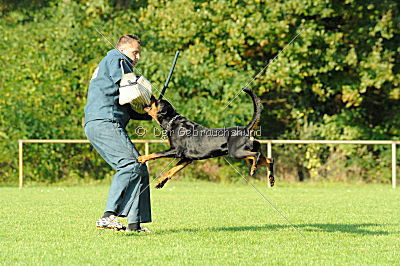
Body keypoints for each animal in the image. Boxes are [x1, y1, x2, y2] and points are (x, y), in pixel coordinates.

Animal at [138, 88, 276, 188]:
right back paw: (271, 179)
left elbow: (156, 153)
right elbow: (172, 170)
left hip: (236, 152)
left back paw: (254, 169)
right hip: (246, 152)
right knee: (269, 160)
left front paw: (142, 158)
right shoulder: (186, 159)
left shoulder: (176, 151)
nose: (151, 95)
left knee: (257, 155)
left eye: (157, 101)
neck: (172, 122)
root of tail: (246, 129)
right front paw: (160, 182)